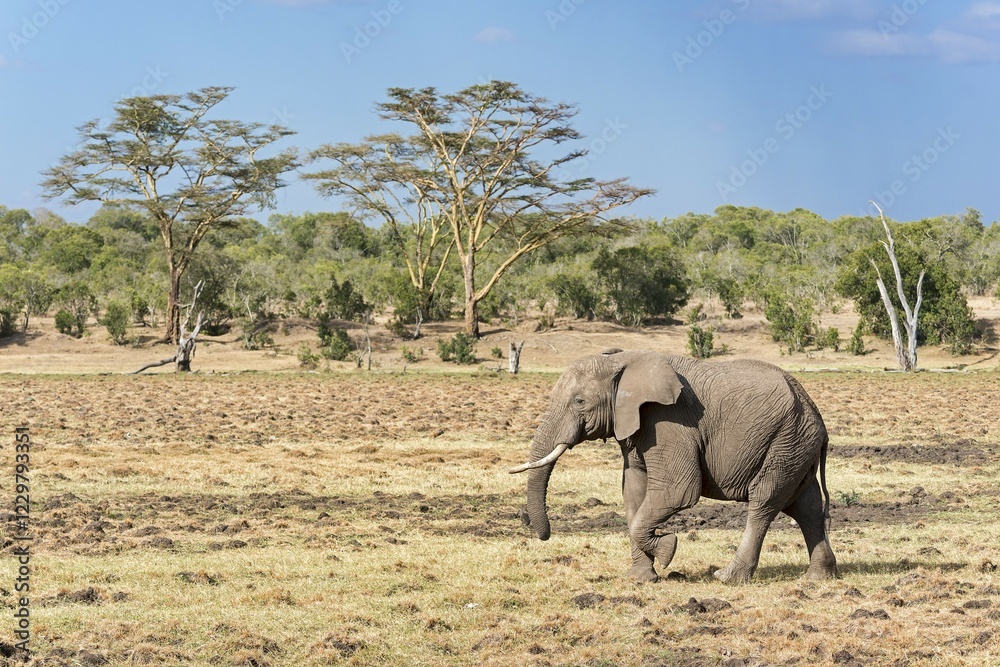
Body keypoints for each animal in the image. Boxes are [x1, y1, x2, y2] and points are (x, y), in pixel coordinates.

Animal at [509, 349, 837, 584]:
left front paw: (668, 549)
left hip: (785, 441)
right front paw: (641, 579)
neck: (620, 360)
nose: (543, 534)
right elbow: (634, 493)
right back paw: (818, 577)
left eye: (579, 401)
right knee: (806, 507)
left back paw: (727, 577)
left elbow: (677, 491)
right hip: (795, 446)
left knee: (764, 503)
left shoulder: (669, 421)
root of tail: (816, 414)